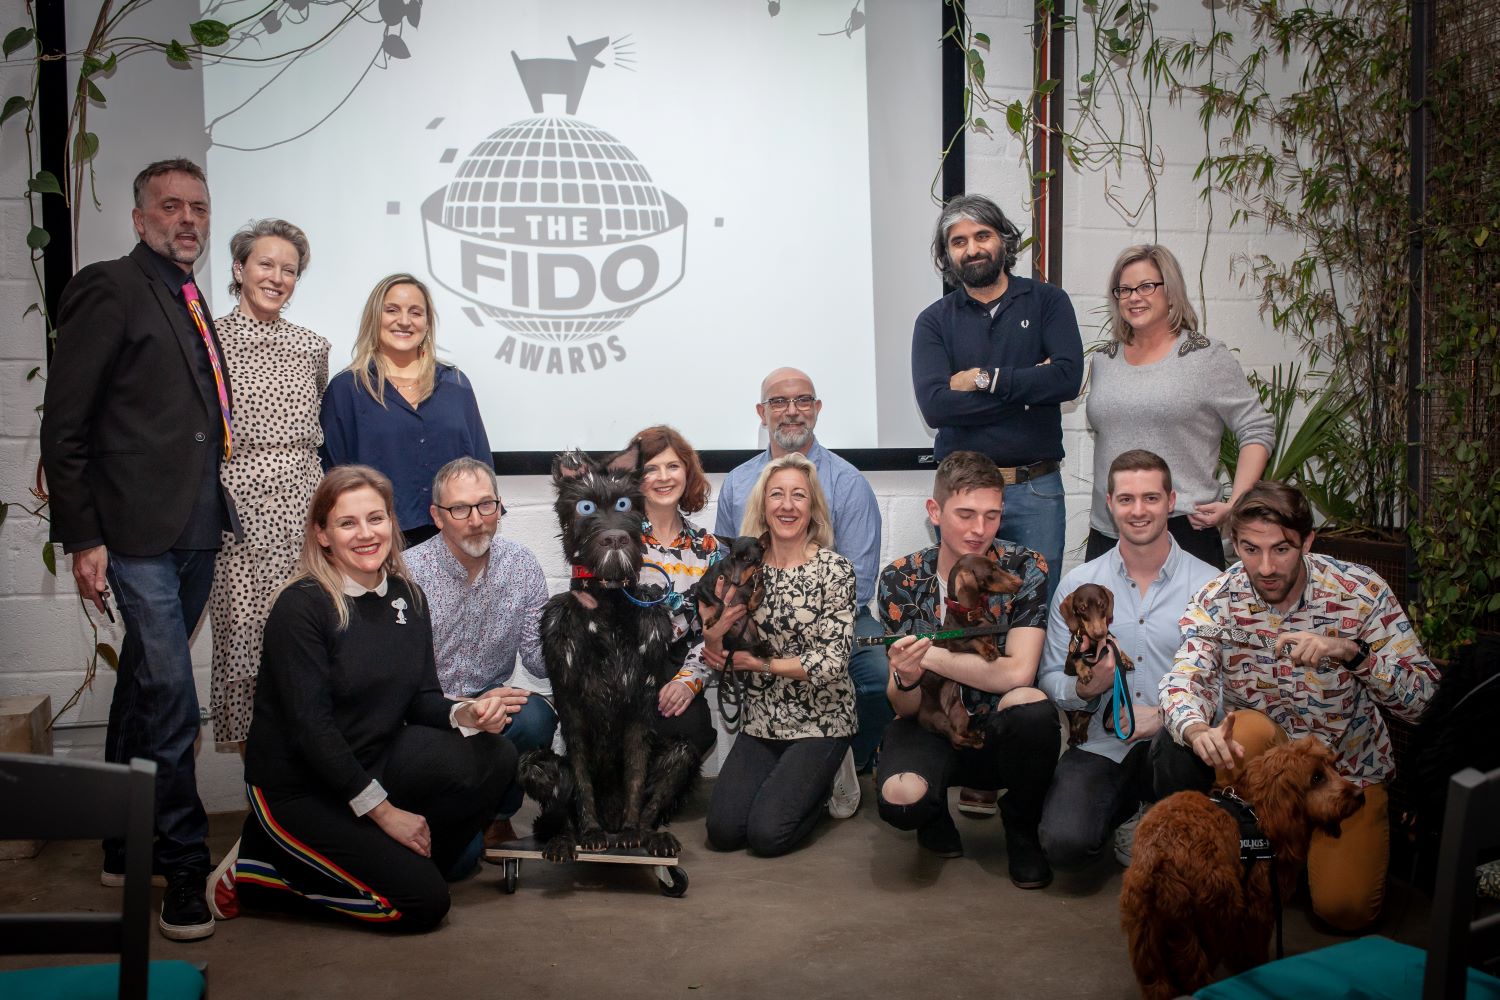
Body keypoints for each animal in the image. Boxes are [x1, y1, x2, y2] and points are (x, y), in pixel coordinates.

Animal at [517, 446, 700, 862]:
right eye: (585, 507)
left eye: (624, 503)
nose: (615, 537)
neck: (608, 610)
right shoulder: (571, 707)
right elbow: (582, 779)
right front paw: (590, 833)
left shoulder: (640, 706)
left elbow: (635, 772)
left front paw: (634, 832)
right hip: (536, 766)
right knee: (557, 805)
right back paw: (567, 838)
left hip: (680, 753)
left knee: (655, 799)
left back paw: (649, 835)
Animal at [916, 553, 1022, 750]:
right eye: (992, 570)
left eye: (997, 565)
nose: (1020, 582)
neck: (974, 612)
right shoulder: (954, 644)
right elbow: (974, 640)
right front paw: (988, 651)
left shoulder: (992, 634)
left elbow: (993, 642)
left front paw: (999, 652)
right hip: (937, 717)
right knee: (955, 738)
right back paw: (975, 741)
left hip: (960, 711)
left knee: (960, 732)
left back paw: (976, 735)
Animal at [1058, 583, 1136, 747]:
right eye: (1082, 608)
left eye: (1102, 605)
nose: (1100, 633)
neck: (1094, 643)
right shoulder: (1073, 654)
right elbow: (1078, 659)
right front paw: (1084, 672)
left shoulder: (1109, 639)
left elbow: (1115, 643)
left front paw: (1126, 660)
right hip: (1070, 711)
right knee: (1074, 723)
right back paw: (1074, 738)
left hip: (1090, 711)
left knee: (1085, 720)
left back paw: (1082, 734)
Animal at [1120, 732, 1365, 1000]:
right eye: (1316, 777)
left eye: (1333, 766)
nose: (1359, 795)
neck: (1258, 811)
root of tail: (1159, 861)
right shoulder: (1261, 906)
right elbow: (1254, 949)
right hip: (1211, 919)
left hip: (1147, 940)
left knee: (1159, 983)